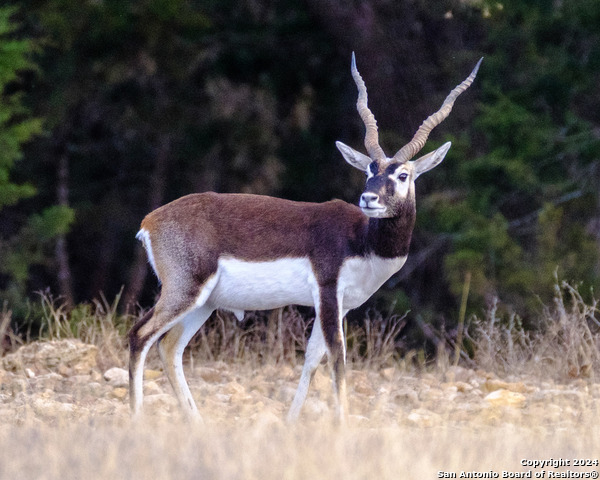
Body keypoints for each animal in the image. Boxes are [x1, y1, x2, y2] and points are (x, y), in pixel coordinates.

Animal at [129, 53, 480, 420]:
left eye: (402, 175)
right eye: (369, 170)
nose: (368, 199)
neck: (362, 241)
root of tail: (151, 219)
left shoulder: (341, 305)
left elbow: (312, 359)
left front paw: (290, 422)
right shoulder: (327, 293)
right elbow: (337, 357)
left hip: (204, 302)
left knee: (169, 346)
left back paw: (196, 423)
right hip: (184, 291)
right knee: (140, 335)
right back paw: (137, 417)